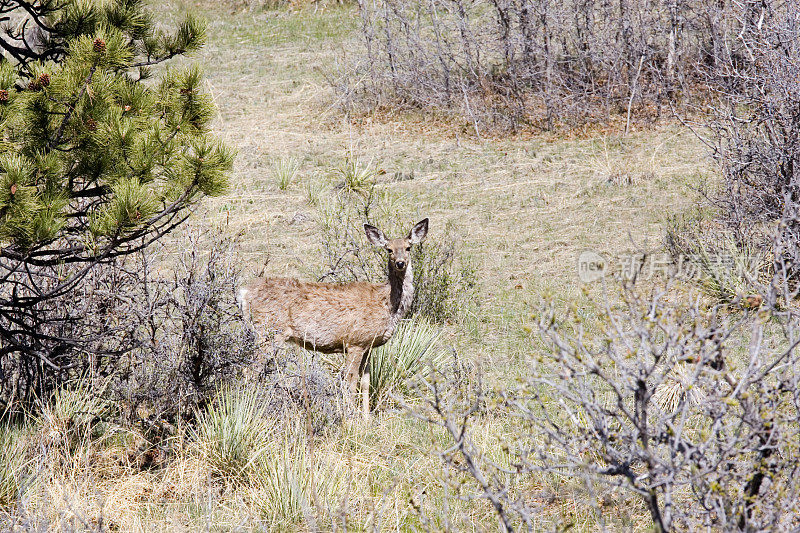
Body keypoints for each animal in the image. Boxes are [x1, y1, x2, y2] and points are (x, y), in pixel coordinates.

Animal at [236, 217, 428, 416]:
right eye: (388, 249)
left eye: (408, 247)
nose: (400, 263)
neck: (387, 305)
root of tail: (243, 293)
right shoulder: (355, 342)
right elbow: (350, 383)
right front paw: (350, 416)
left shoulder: (368, 345)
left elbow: (366, 383)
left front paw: (366, 418)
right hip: (269, 332)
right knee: (249, 371)